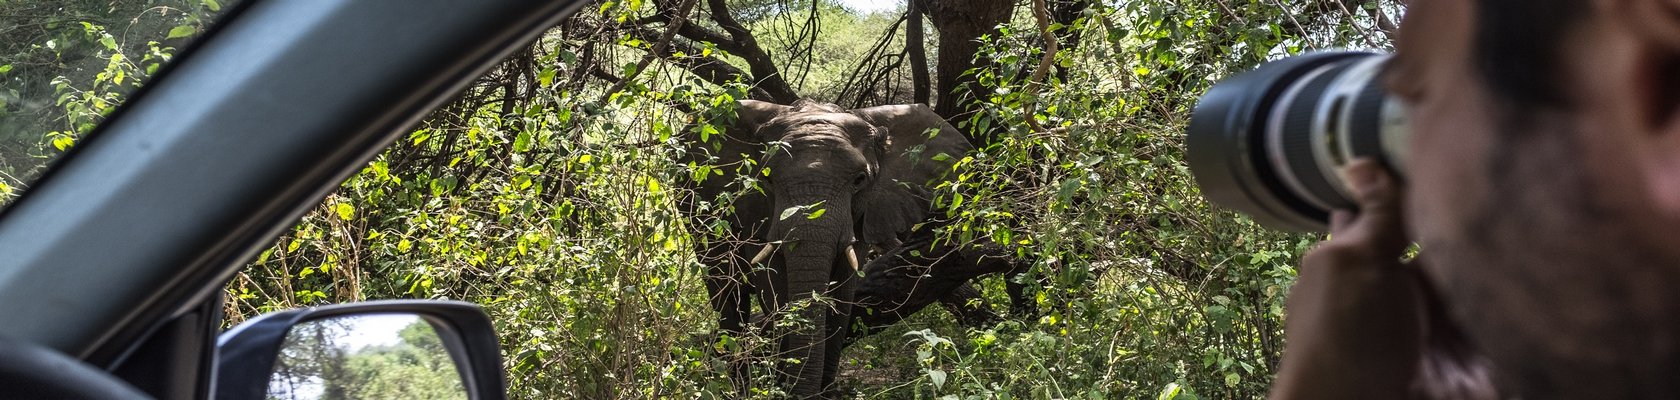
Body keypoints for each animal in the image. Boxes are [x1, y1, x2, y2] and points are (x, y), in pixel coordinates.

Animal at [678, 97, 981, 396]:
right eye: (767, 178)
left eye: (859, 180)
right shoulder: (756, 209)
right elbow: (773, 286)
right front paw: (784, 386)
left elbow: (843, 290)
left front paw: (823, 391)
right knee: (727, 296)